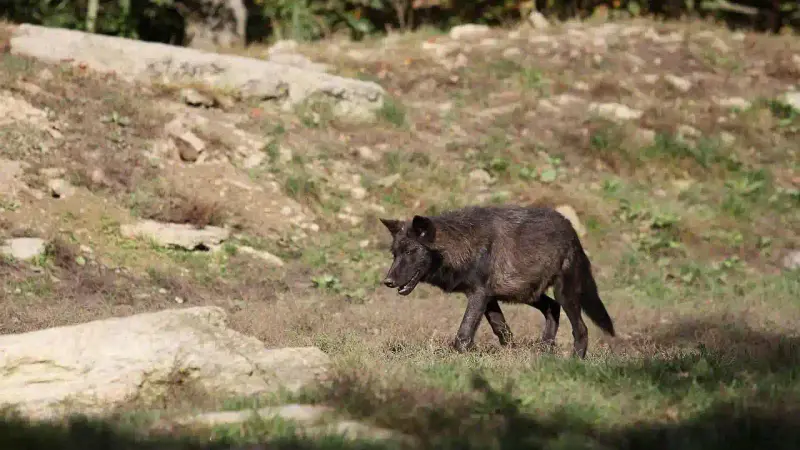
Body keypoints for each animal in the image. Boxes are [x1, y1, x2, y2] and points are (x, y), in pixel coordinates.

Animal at [379, 204, 615, 358]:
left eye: (410, 252)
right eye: (394, 254)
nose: (387, 281)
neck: (462, 244)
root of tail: (570, 229)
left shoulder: (478, 295)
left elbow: (464, 333)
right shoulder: (488, 298)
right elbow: (502, 330)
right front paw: (511, 354)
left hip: (563, 294)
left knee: (581, 329)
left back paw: (575, 360)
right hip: (529, 295)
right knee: (553, 309)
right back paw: (544, 350)